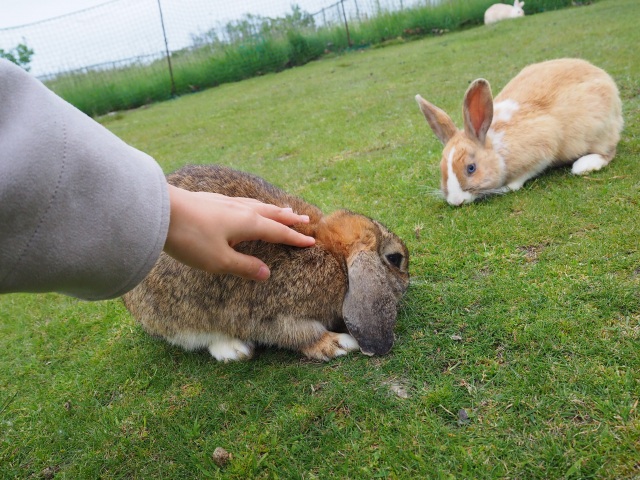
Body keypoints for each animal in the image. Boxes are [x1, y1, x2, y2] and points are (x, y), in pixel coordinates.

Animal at [122, 164, 408, 360]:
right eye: (395, 259)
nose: (406, 286)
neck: (334, 256)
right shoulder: (271, 315)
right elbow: (297, 334)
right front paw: (337, 344)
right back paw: (234, 350)